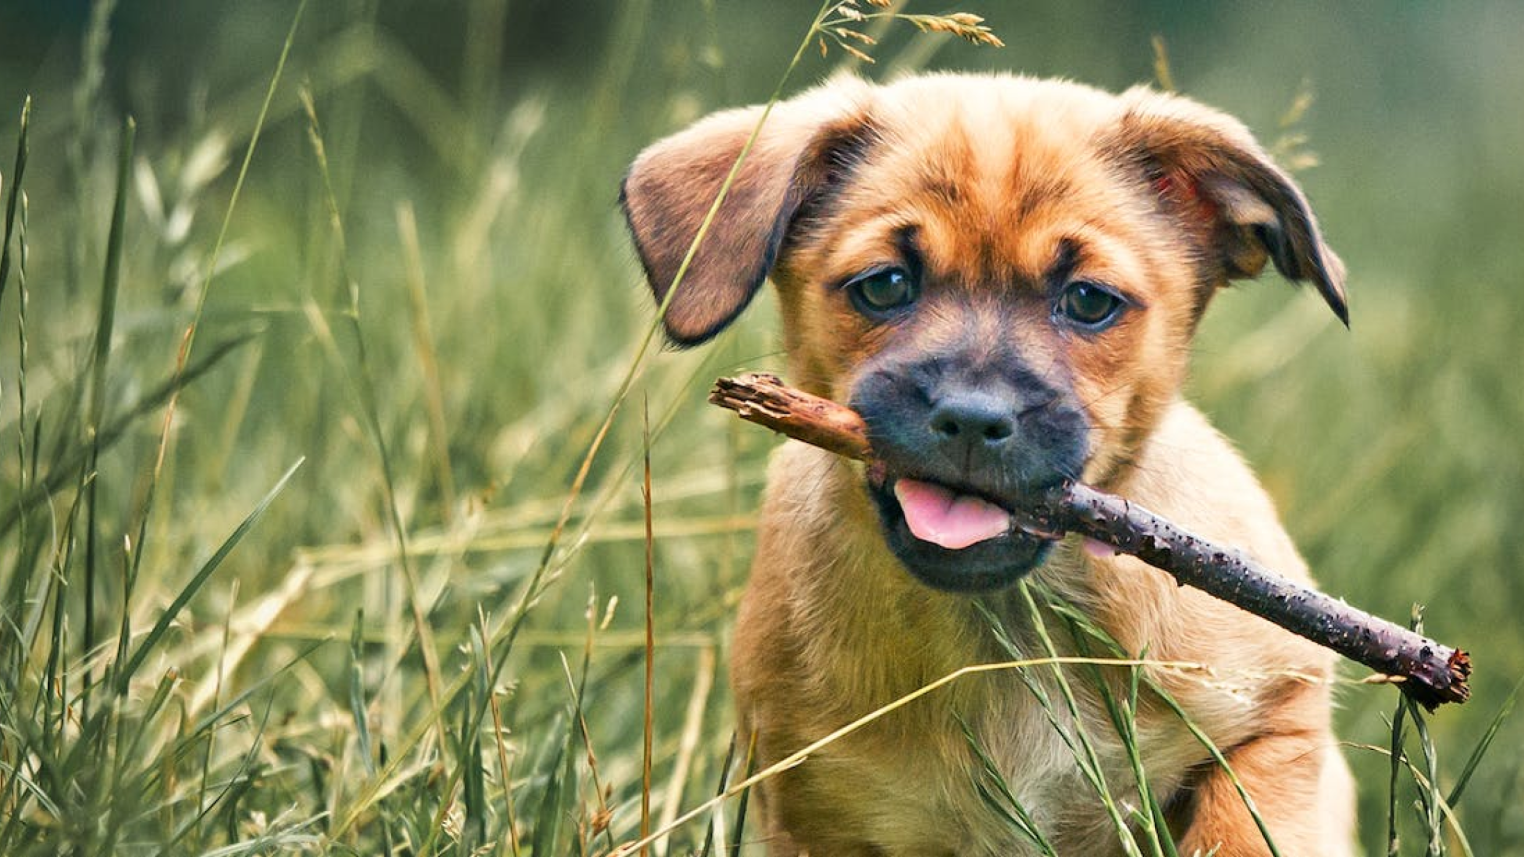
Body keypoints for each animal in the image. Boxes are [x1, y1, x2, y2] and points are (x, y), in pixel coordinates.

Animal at [618, 75, 1359, 853]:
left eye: (1089, 301)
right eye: (883, 285)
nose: (973, 419)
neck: (1003, 630)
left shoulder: (1277, 721)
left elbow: (1238, 827)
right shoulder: (811, 809)